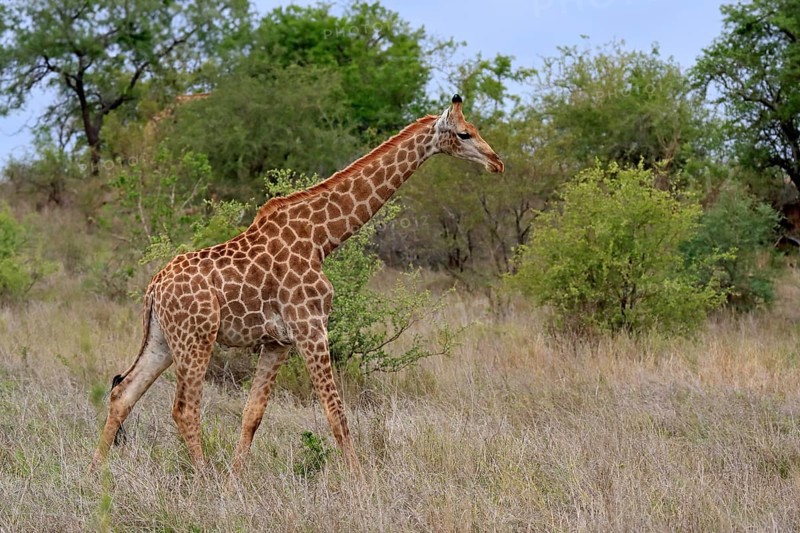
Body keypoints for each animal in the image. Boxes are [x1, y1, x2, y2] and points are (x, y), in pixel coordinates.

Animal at [90, 94, 504, 473]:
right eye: (465, 133)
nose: (497, 162)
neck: (321, 238)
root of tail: (153, 288)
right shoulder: (311, 327)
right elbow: (336, 413)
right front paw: (362, 485)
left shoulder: (278, 342)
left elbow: (252, 414)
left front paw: (236, 481)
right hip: (197, 338)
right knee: (184, 409)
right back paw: (204, 478)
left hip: (163, 339)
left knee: (123, 392)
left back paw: (98, 472)